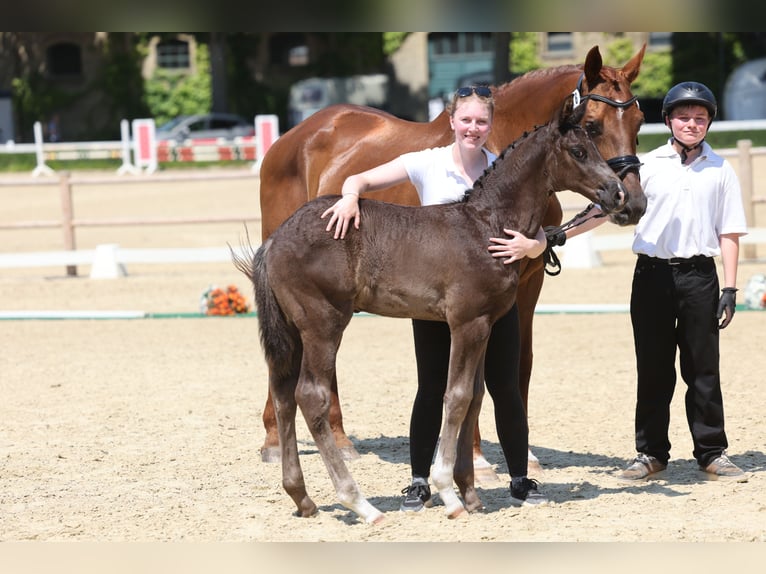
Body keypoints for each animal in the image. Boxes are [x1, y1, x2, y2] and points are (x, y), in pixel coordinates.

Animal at [256, 44, 647, 475]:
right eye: (591, 130)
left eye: (640, 122)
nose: (628, 200)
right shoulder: (469, 316)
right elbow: (462, 387)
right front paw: (472, 461)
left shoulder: (522, 291)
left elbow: (512, 370)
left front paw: (519, 456)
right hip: (314, 309)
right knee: (293, 375)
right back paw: (279, 445)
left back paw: (338, 443)